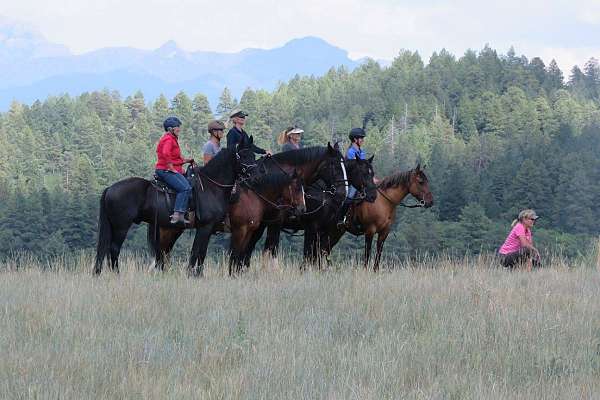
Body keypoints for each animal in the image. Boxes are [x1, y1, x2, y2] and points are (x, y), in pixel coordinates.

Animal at [92, 135, 256, 276]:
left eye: (253, 155)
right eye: (243, 155)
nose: (253, 174)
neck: (211, 186)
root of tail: (110, 189)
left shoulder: (207, 229)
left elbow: (199, 252)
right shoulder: (206, 227)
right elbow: (198, 252)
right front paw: (194, 275)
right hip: (121, 226)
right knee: (114, 248)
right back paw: (117, 274)